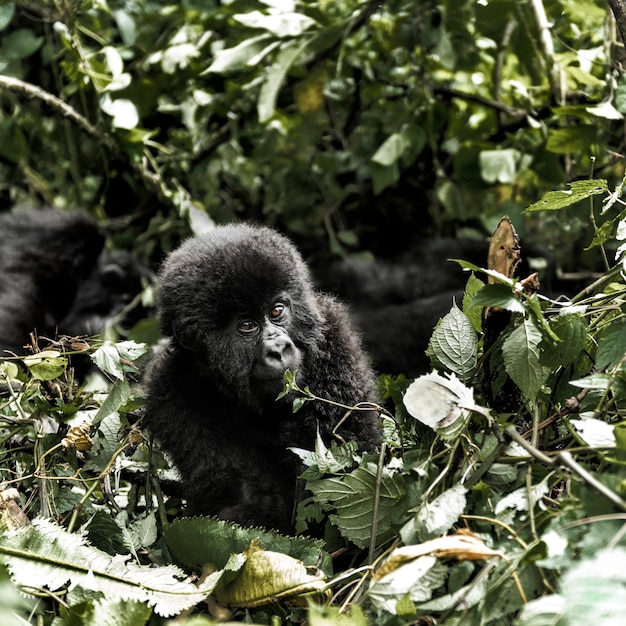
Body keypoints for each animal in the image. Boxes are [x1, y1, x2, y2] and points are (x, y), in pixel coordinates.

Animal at [144, 222, 378, 528]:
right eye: (247, 326)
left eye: (277, 311)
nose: (278, 348)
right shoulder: (168, 386)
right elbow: (248, 498)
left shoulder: (333, 341)